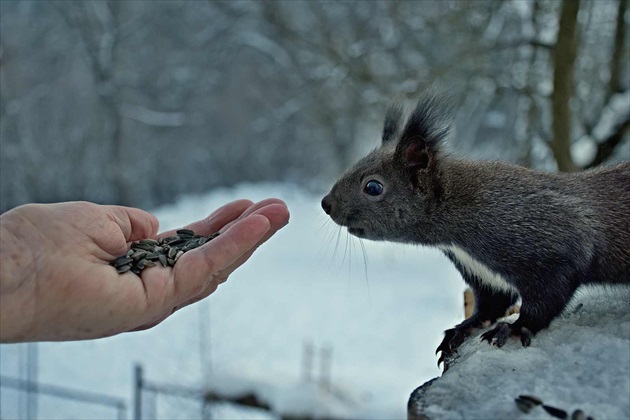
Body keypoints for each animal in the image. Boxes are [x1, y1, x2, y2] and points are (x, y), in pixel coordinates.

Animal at [324, 92, 630, 364]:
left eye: (373, 187)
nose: (326, 204)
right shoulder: (484, 274)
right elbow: (491, 305)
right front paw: (460, 330)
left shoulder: (553, 249)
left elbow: (545, 300)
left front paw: (514, 328)